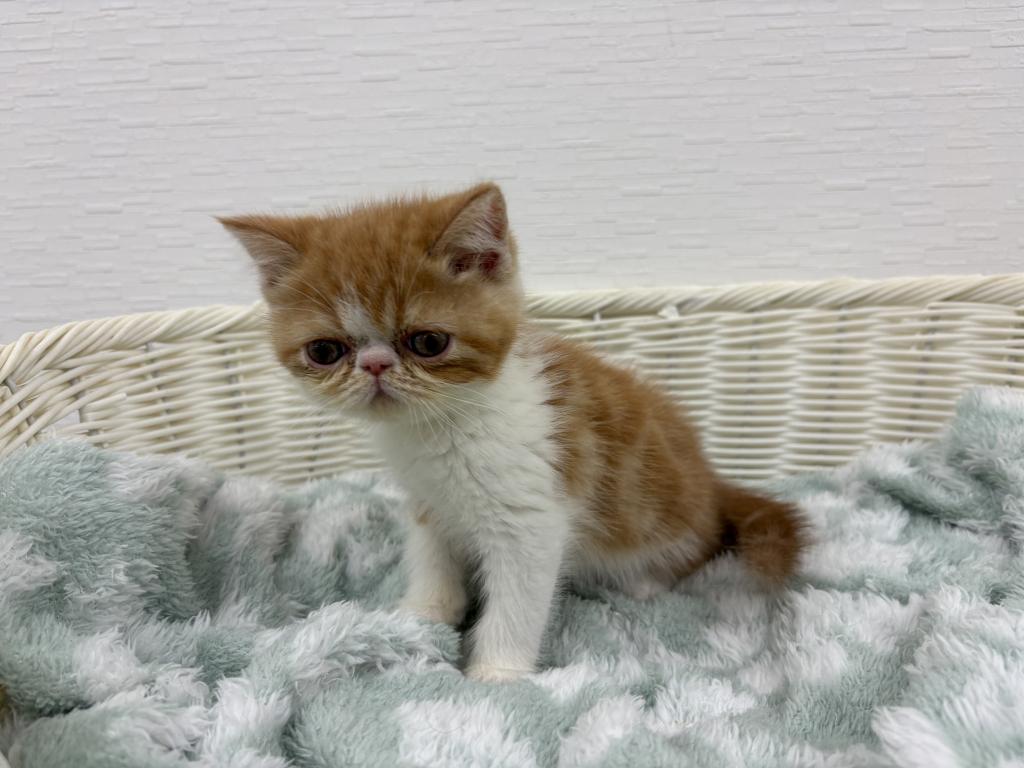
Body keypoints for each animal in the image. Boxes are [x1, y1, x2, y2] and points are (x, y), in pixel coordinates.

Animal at [221, 182, 805, 682]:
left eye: (428, 342)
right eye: (325, 351)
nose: (375, 365)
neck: (439, 431)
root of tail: (713, 482)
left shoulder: (532, 518)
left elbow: (518, 602)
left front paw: (496, 674)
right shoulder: (427, 501)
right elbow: (431, 557)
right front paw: (421, 615)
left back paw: (644, 581)